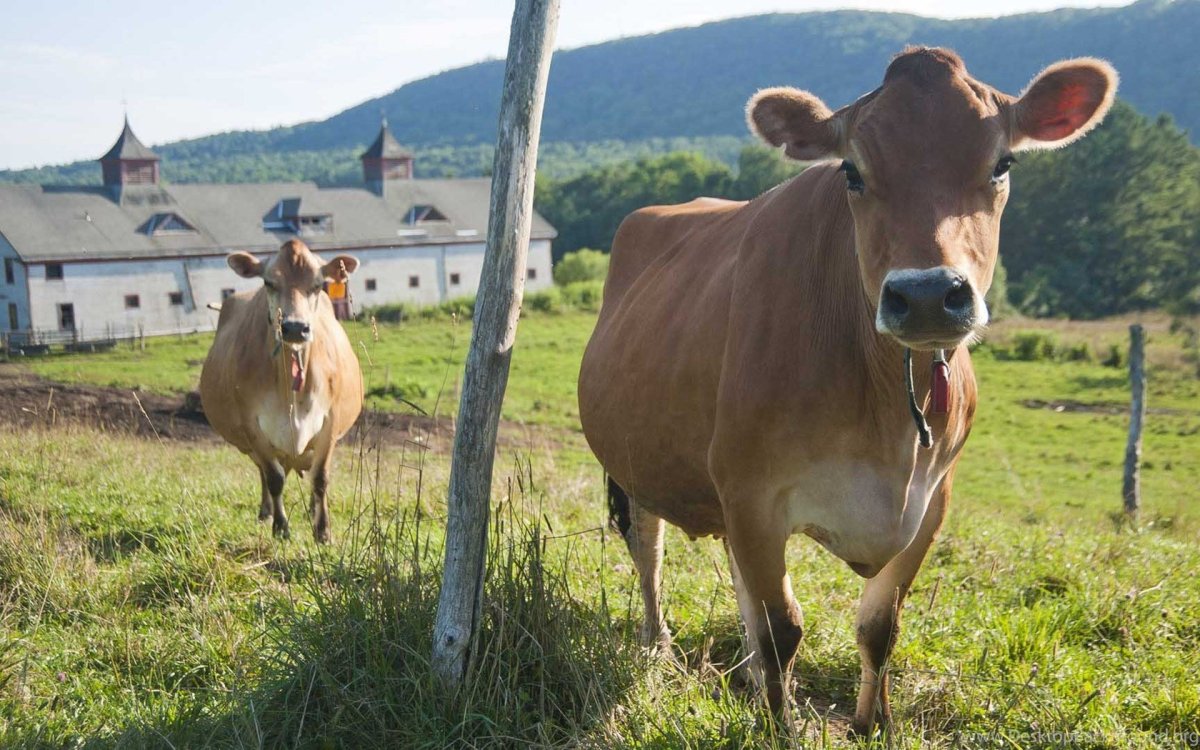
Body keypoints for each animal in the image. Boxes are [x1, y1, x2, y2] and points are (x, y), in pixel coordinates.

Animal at [200, 239, 363, 543]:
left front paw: (323, 531)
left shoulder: (330, 423)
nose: (295, 328)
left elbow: (320, 478)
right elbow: (273, 478)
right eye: (269, 282)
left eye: (318, 284)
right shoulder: (252, 425)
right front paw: (281, 527)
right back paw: (265, 512)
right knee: (267, 473)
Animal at [578, 47, 1116, 735]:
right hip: (634, 464)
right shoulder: (753, 493)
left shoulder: (929, 501)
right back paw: (658, 646)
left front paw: (872, 722)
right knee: (649, 549)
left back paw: (743, 672)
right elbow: (783, 628)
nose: (926, 295)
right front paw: (779, 728)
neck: (886, 407)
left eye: (1003, 164)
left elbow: (879, 626)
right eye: (852, 172)